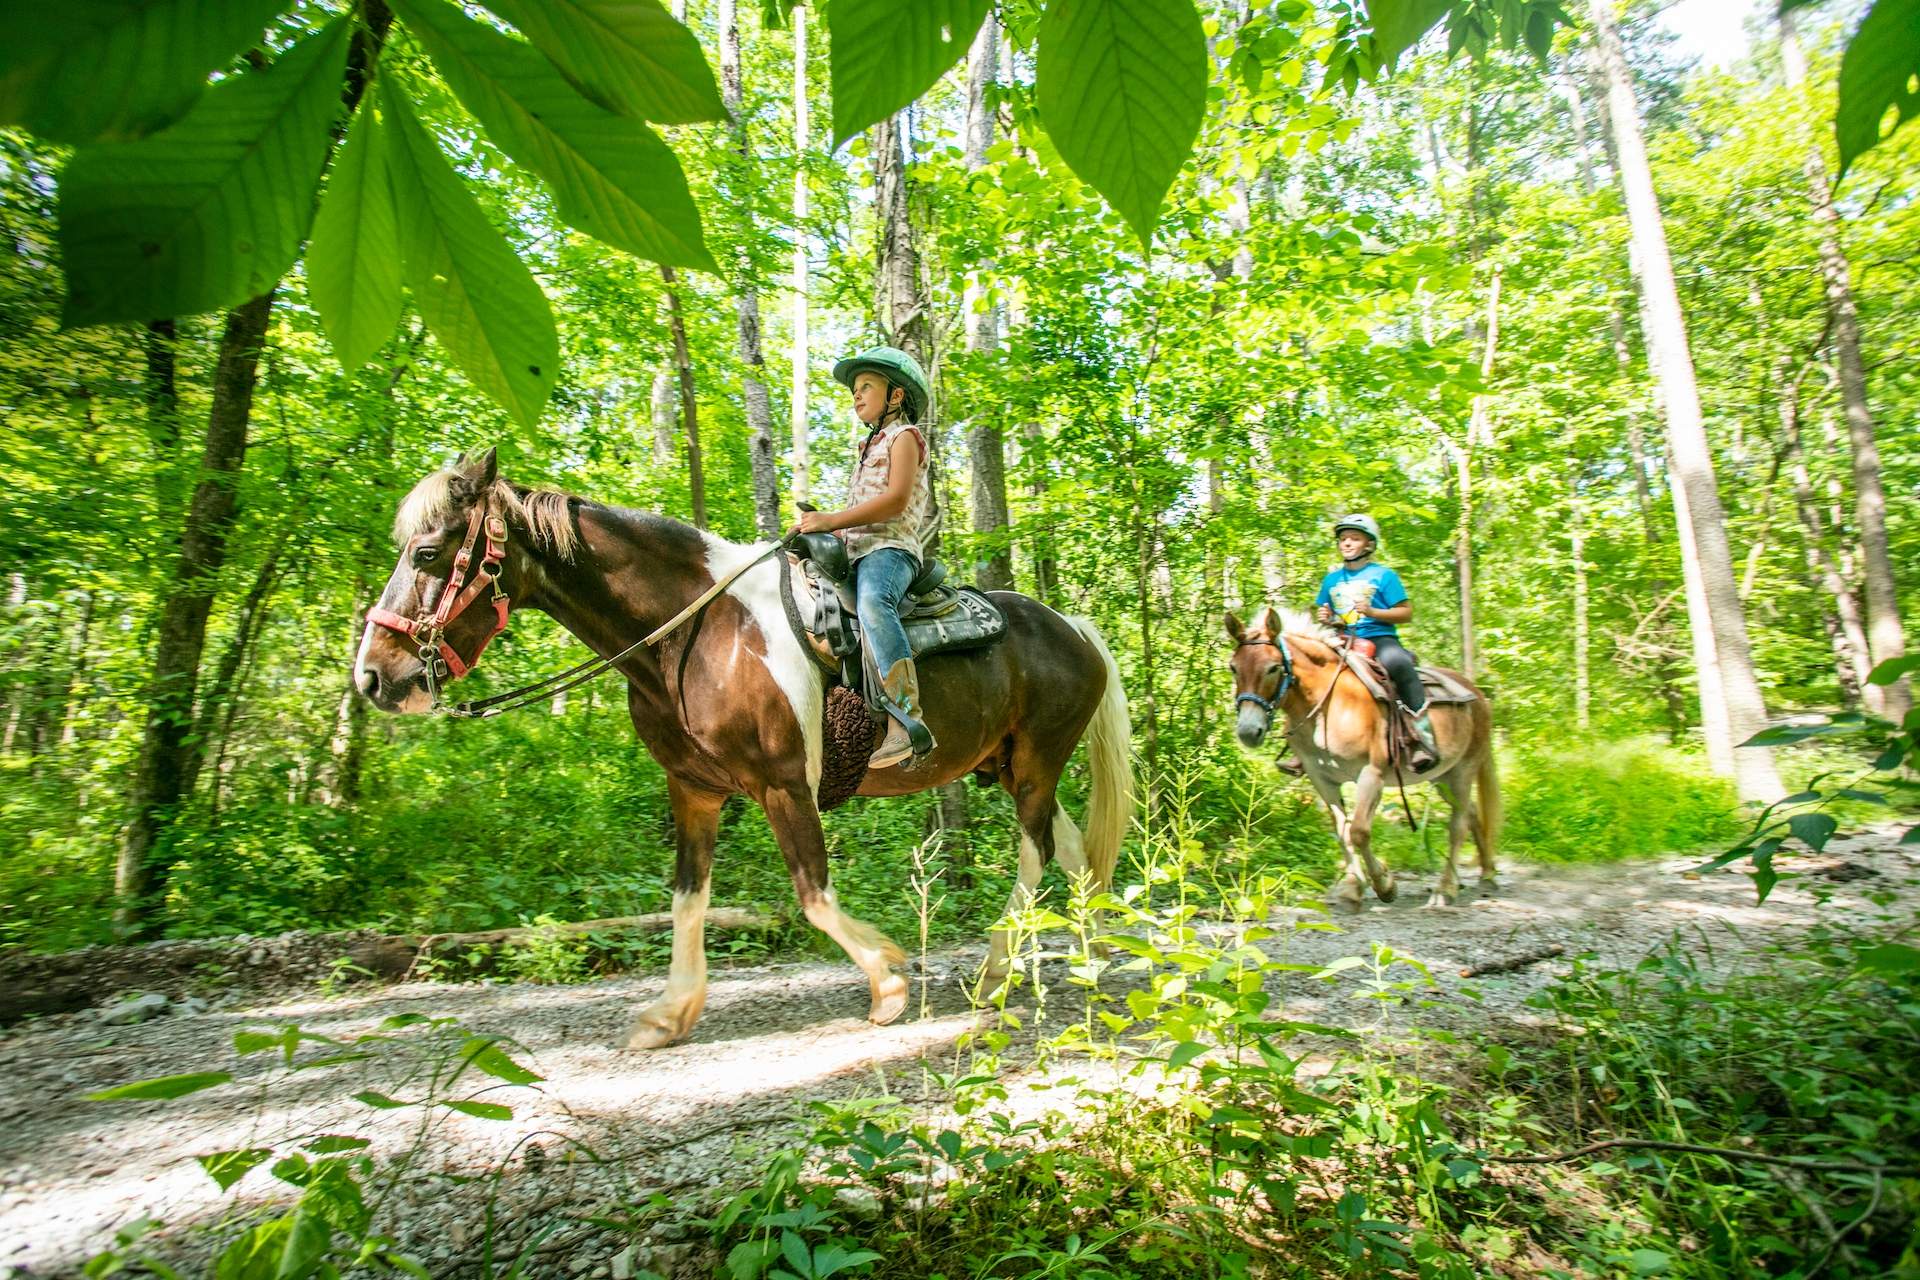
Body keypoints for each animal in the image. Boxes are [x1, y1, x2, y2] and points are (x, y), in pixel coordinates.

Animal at [353, 454, 1128, 1043]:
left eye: (427, 553)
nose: (373, 677)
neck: (693, 632)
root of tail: (1075, 627)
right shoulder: (694, 790)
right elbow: (687, 898)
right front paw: (671, 1012)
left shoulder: (784, 784)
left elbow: (812, 894)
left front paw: (887, 978)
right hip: (1012, 767)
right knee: (1069, 851)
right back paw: (1092, 952)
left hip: (1036, 760)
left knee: (1035, 851)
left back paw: (1000, 966)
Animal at [1228, 610, 1497, 909]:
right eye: (1233, 667)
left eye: (1274, 667)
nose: (1248, 731)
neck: (1328, 706)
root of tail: (1477, 693)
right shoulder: (1322, 778)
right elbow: (1342, 831)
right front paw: (1352, 887)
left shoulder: (1371, 774)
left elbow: (1358, 831)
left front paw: (1384, 884)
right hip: (1442, 776)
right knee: (1471, 812)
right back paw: (1487, 873)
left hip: (1464, 770)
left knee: (1458, 825)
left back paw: (1445, 889)